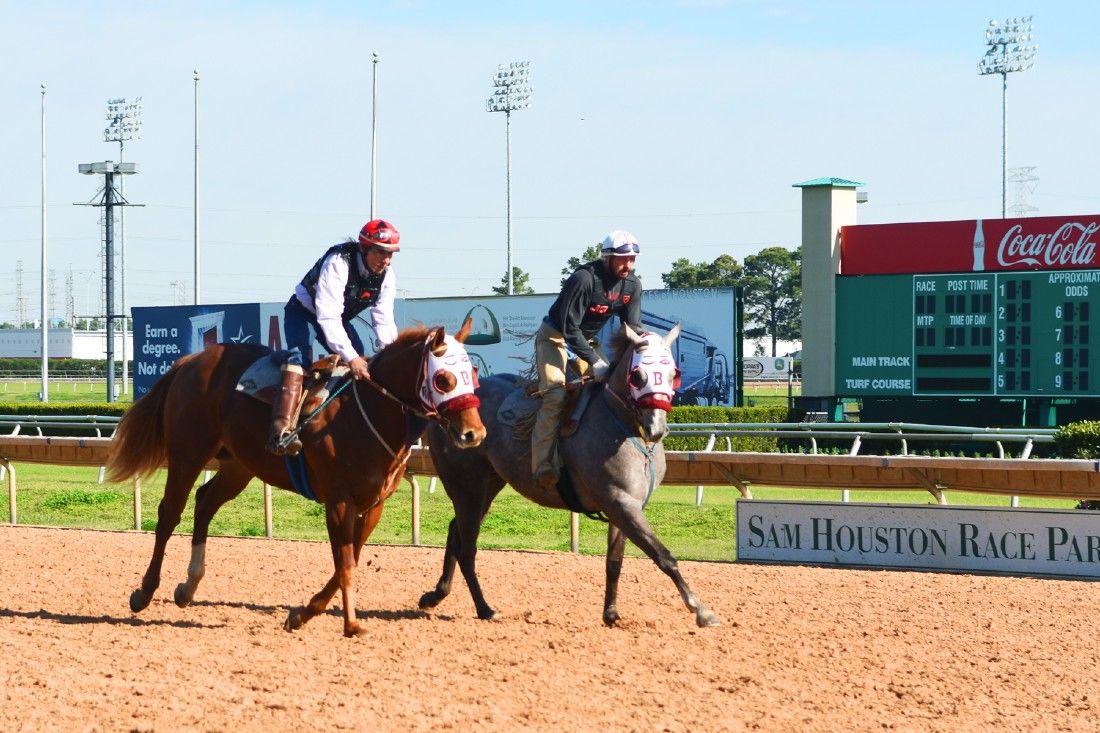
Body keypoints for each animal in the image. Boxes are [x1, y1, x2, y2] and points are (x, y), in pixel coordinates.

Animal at [108, 319, 486, 633]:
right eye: (444, 379)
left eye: (474, 373)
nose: (475, 434)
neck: (366, 413)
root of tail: (191, 360)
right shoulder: (338, 501)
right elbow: (345, 563)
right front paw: (351, 624)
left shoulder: (373, 505)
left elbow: (350, 558)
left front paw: (302, 614)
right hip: (188, 453)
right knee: (169, 513)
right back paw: (144, 592)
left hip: (240, 464)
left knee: (205, 503)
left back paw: (188, 587)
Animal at [415, 323, 717, 625]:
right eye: (638, 376)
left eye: (674, 375)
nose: (656, 428)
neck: (625, 428)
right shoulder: (620, 502)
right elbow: (663, 555)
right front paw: (701, 609)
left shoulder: (626, 505)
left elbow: (614, 561)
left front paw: (611, 612)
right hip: (466, 485)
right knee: (467, 547)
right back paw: (484, 608)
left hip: (487, 485)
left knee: (456, 533)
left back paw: (435, 595)